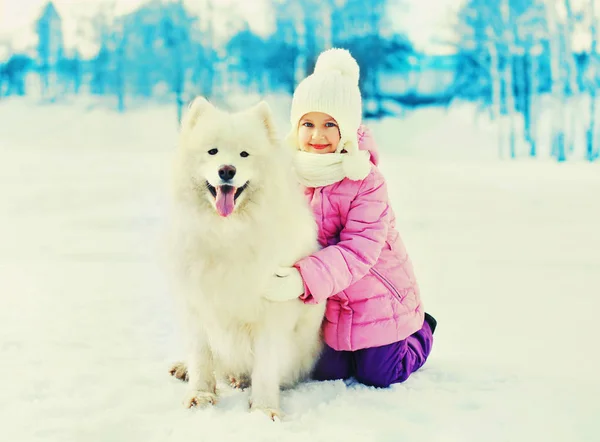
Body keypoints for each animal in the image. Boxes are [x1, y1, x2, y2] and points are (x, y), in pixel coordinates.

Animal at [166, 95, 326, 420]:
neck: (227, 233)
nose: (227, 170)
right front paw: (201, 395)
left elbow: (265, 366)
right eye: (212, 151)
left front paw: (264, 410)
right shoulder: (196, 303)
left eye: (244, 154)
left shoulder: (271, 312)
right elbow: (201, 357)